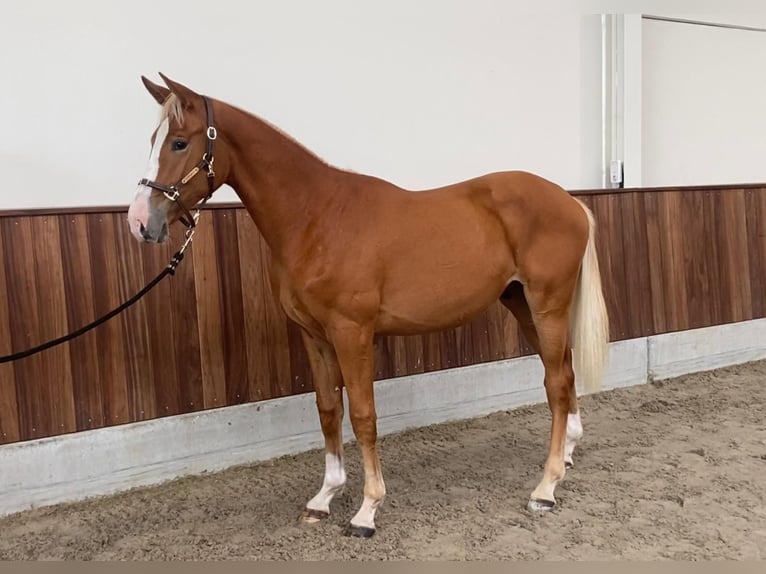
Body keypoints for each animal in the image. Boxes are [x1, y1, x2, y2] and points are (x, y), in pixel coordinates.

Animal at [127, 73, 612, 540]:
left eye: (179, 142)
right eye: (153, 139)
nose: (139, 222)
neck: (317, 217)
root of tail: (569, 201)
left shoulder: (351, 332)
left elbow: (363, 415)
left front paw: (367, 510)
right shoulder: (315, 335)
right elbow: (328, 410)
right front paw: (324, 497)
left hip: (547, 305)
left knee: (555, 382)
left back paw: (545, 487)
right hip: (522, 305)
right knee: (564, 374)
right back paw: (567, 455)